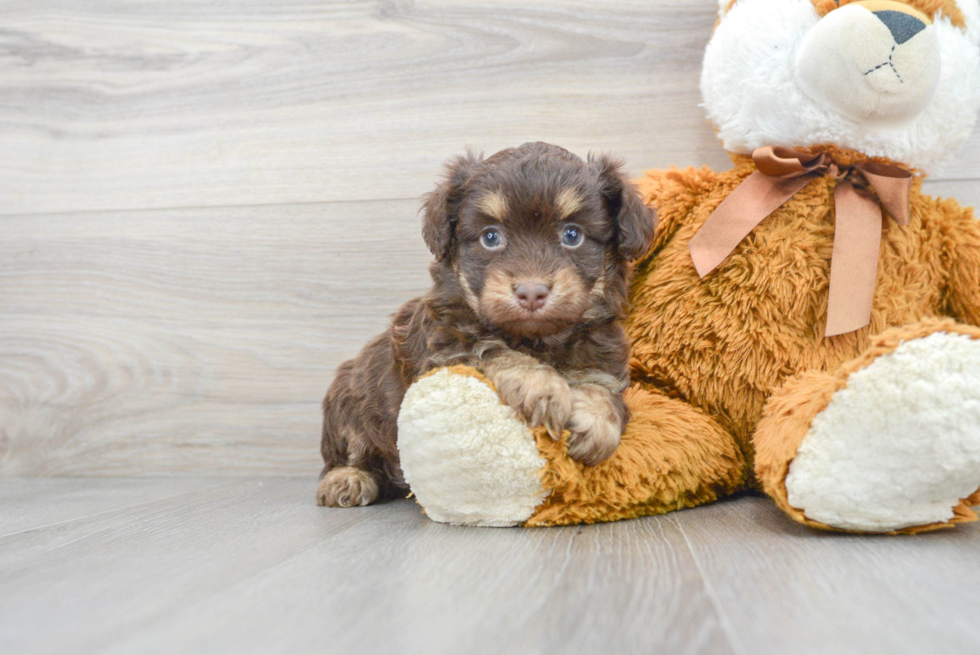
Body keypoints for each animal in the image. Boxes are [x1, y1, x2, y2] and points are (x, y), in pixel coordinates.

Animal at [320, 144, 660, 510]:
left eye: (573, 235)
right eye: (490, 237)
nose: (531, 292)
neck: (538, 339)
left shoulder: (603, 362)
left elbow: (606, 394)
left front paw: (595, 422)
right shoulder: (445, 351)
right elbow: (493, 350)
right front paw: (543, 387)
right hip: (347, 401)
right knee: (348, 453)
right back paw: (347, 479)